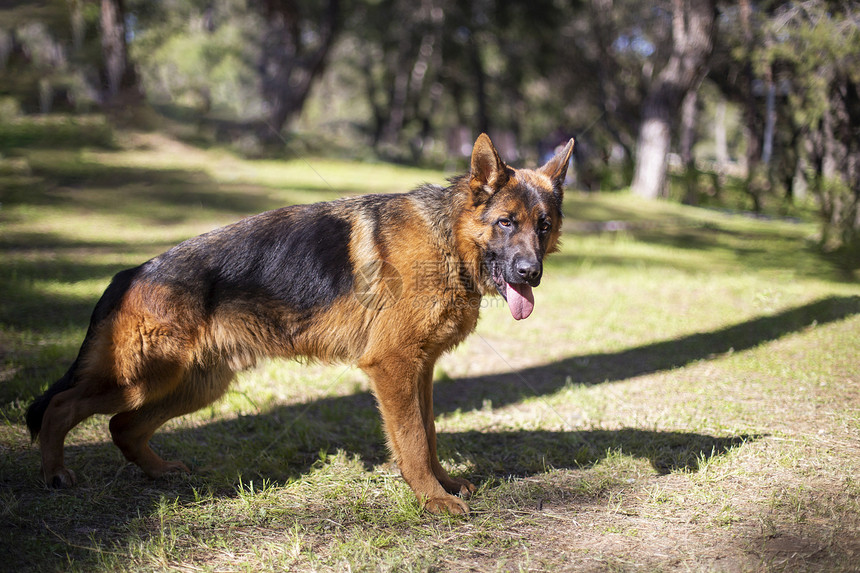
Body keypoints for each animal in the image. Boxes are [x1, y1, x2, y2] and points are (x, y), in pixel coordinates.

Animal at [26, 134, 576, 512]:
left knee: (122, 426)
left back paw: (159, 471)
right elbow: (414, 442)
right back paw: (53, 473)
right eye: (506, 222)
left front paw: (440, 485)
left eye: (543, 226)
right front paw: (432, 500)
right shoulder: (393, 367)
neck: (448, 241)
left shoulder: (419, 370)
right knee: (61, 406)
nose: (531, 273)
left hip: (191, 385)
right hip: (143, 377)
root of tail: (131, 273)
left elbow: (429, 433)